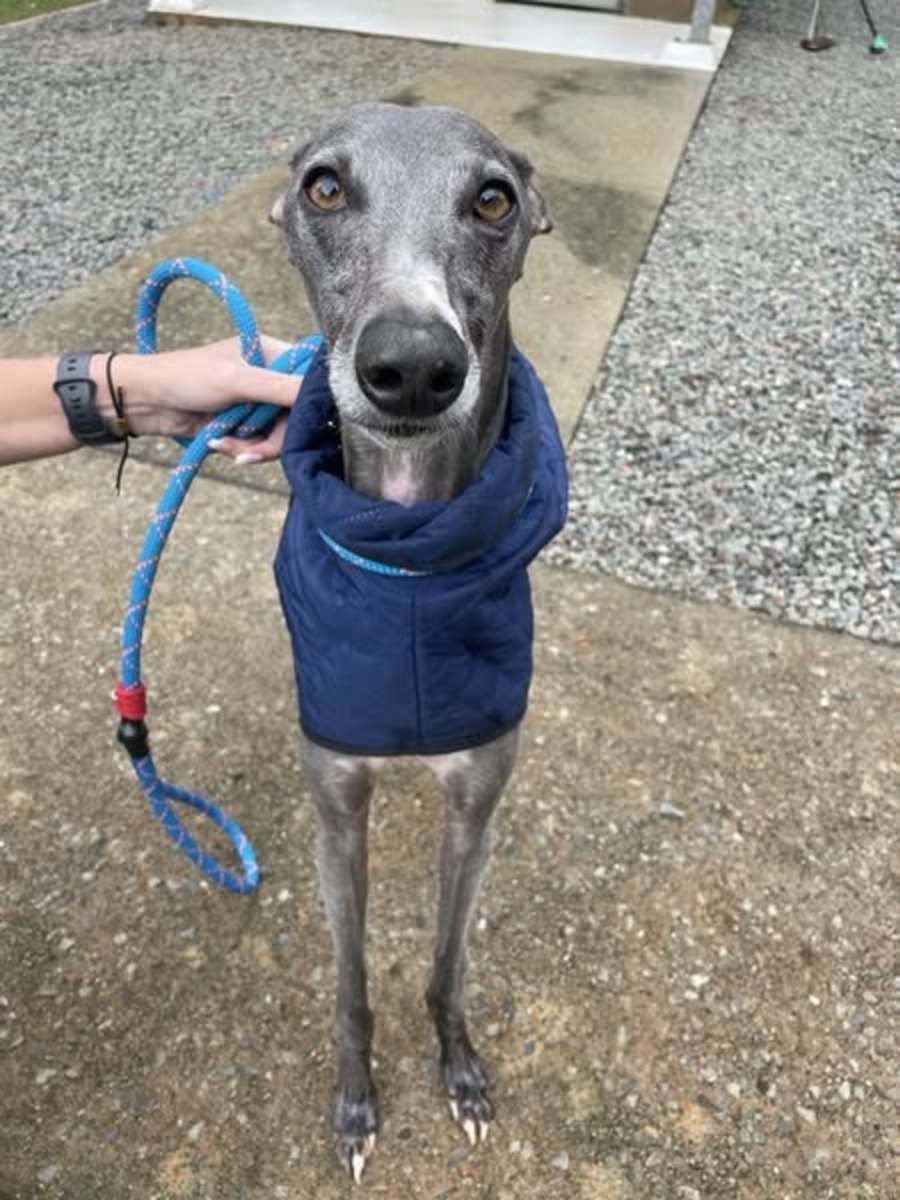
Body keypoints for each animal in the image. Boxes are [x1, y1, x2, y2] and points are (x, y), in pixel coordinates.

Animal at [269, 102, 566, 1181]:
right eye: (323, 186)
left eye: (495, 199)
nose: (411, 368)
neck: (407, 570)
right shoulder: (335, 805)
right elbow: (351, 978)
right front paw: (357, 1101)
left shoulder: (477, 803)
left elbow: (448, 958)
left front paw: (460, 1069)